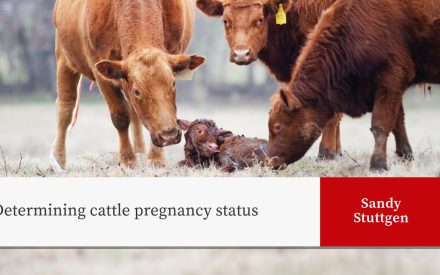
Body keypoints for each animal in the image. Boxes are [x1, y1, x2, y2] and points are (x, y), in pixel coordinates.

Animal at [49, 0, 205, 172]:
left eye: (173, 83)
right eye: (137, 91)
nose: (168, 135)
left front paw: (156, 159)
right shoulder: (101, 73)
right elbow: (120, 117)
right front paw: (128, 159)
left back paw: (140, 152)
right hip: (63, 57)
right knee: (65, 109)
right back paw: (58, 160)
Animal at [268, 0, 440, 171]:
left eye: (277, 126)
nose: (270, 162)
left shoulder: (391, 79)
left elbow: (380, 125)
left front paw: (377, 165)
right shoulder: (390, 88)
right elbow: (398, 122)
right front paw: (405, 156)